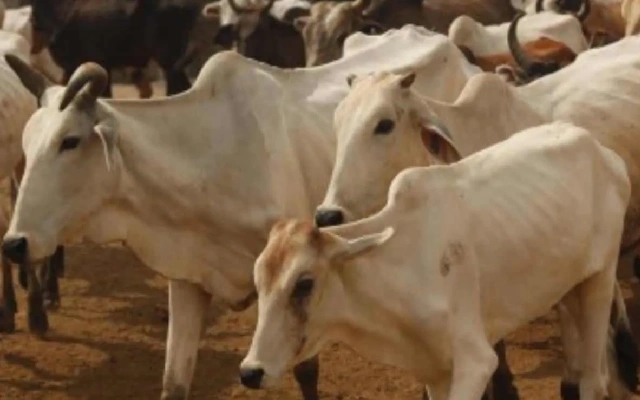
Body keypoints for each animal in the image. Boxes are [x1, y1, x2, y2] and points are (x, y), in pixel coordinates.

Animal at [0, 25, 480, 400]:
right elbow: (174, 384)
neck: (211, 159)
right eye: (26, 143)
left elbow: (306, 371)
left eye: (69, 141)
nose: (15, 243)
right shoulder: (188, 279)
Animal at [240, 122, 634, 400]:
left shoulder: (476, 362)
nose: (250, 372)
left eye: (304, 283)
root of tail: (604, 153)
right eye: (259, 284)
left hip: (599, 282)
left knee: (593, 382)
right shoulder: (434, 370)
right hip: (567, 290)